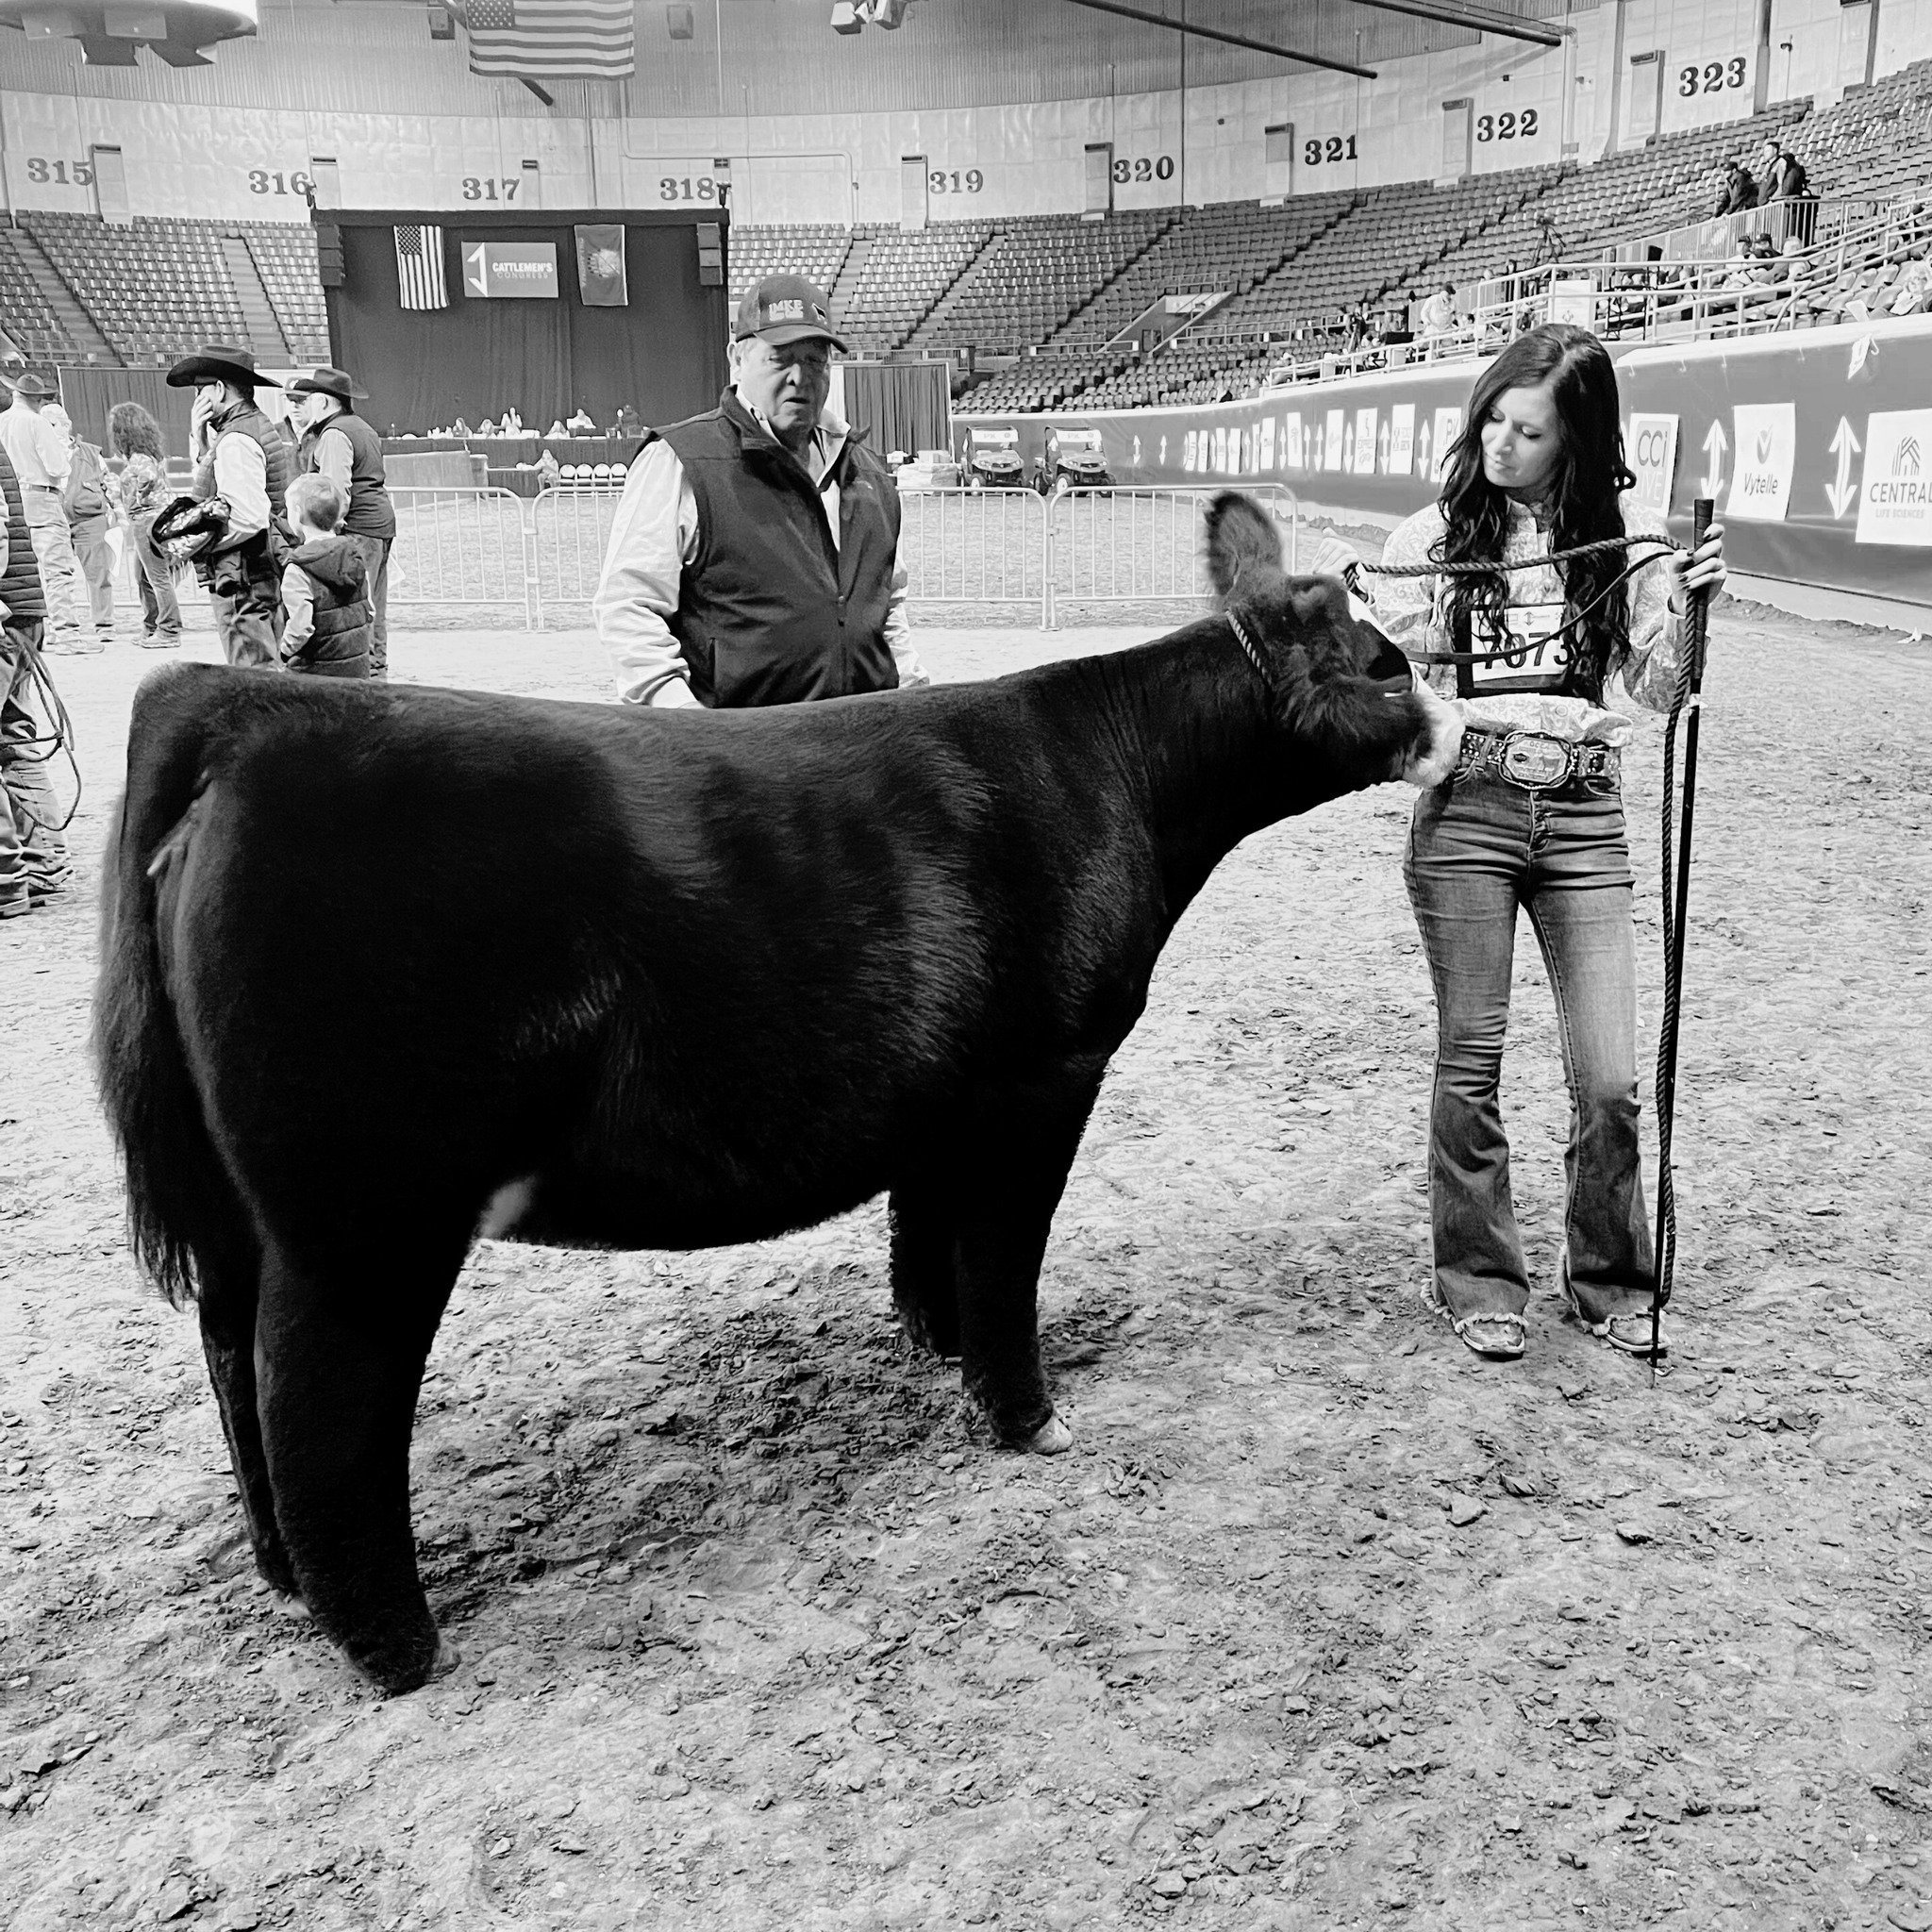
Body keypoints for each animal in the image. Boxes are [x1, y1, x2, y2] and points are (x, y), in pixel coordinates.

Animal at [94, 492, 1461, 1695]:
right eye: (1386, 662)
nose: (1458, 726)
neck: (1112, 772)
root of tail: (240, 707)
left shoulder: (946, 1090)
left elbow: (932, 1234)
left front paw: (936, 1347)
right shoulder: (1047, 1073)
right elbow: (1004, 1251)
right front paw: (1025, 1416)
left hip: (251, 1220)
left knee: (231, 1366)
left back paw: (281, 1576)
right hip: (365, 1219)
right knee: (318, 1415)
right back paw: (399, 1652)